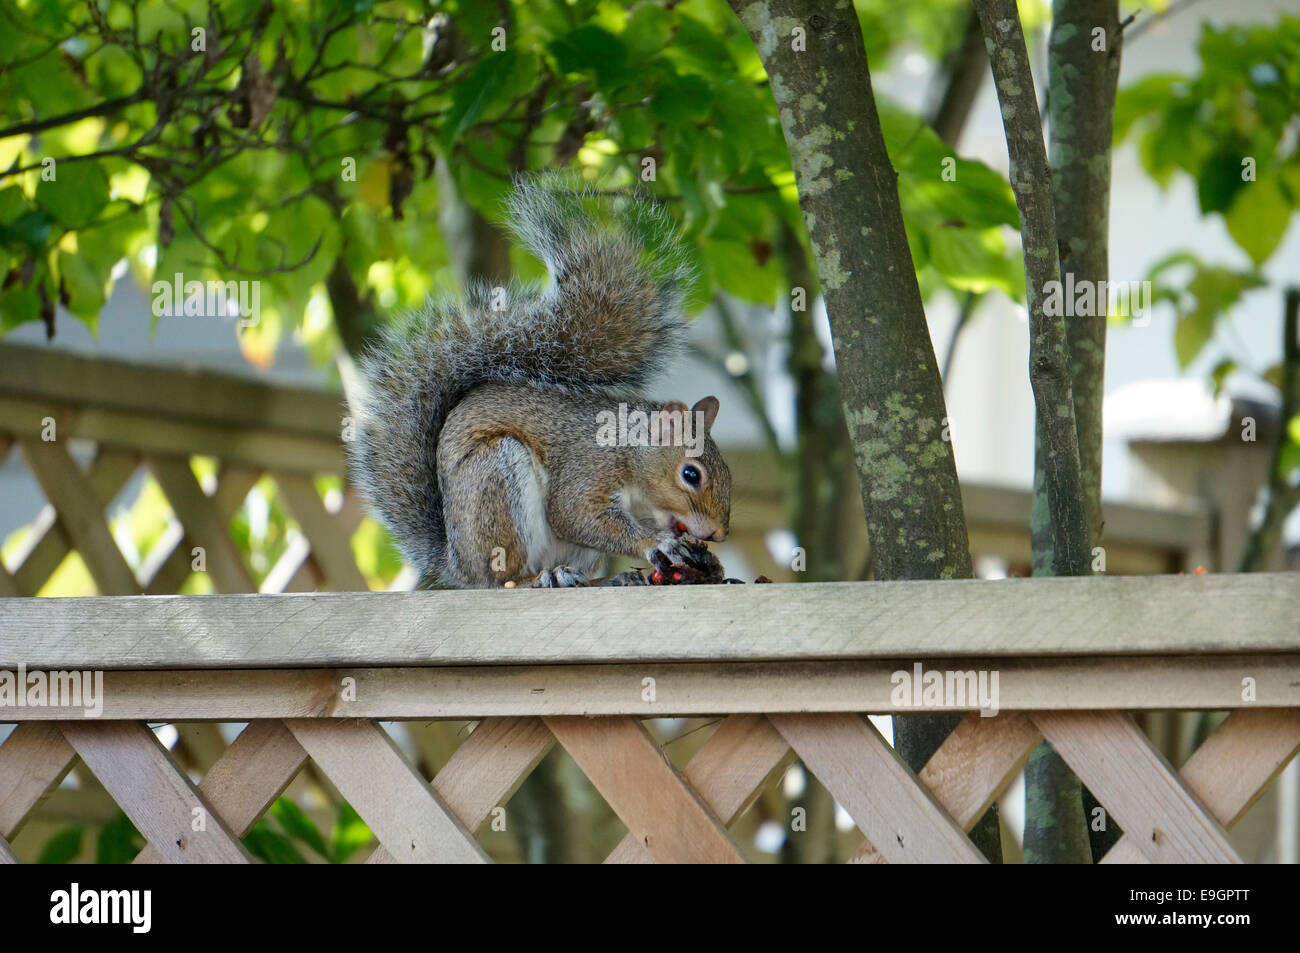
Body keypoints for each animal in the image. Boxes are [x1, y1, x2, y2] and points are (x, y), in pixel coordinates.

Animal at [345, 174, 733, 582]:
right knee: (506, 576)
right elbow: (575, 514)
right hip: (496, 483)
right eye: (691, 474)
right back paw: (538, 578)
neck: (630, 455)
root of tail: (458, 564)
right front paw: (656, 544)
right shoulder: (588, 470)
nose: (719, 534)